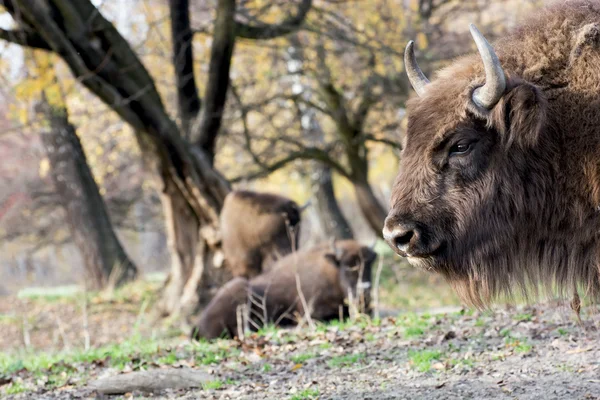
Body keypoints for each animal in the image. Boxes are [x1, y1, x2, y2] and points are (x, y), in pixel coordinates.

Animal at [191, 239, 376, 340]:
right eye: (348, 266)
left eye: (370, 264)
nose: (364, 292)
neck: (332, 273)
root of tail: (199, 322)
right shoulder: (311, 312)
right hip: (240, 288)